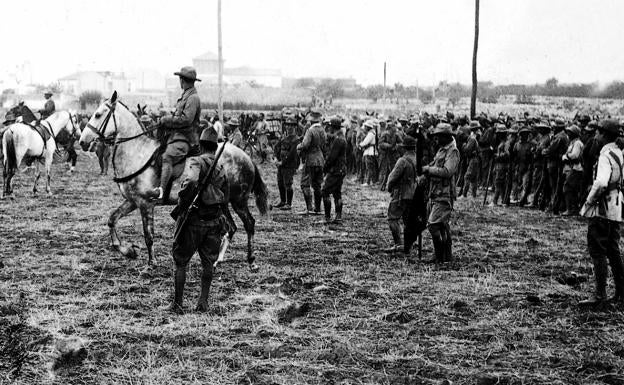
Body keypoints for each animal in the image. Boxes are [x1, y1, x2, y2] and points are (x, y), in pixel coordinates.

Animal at [78, 91, 268, 268]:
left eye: (98, 114)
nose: (82, 142)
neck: (138, 153)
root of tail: (246, 156)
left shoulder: (146, 204)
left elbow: (148, 235)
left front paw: (151, 263)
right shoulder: (132, 201)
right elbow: (112, 219)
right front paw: (127, 250)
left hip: (239, 201)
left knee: (249, 224)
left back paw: (251, 260)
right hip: (223, 202)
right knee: (231, 227)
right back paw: (217, 260)